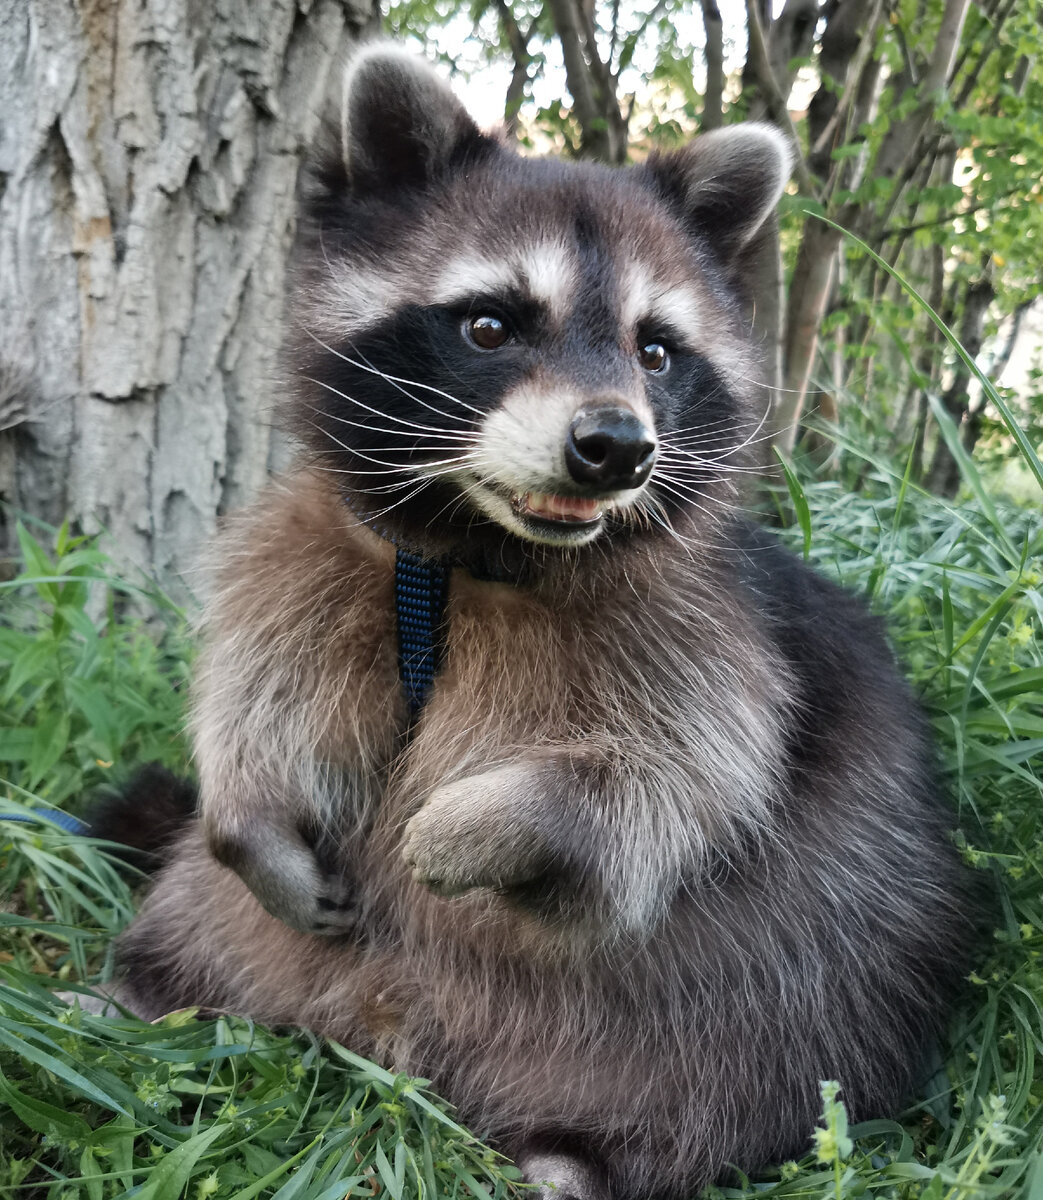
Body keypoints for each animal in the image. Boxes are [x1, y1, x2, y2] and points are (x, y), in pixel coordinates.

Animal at [109, 44, 979, 1200]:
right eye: (490, 323)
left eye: (656, 351)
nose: (615, 447)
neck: (474, 551)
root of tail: (383, 1034)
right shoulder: (318, 551)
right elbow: (261, 680)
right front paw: (245, 809)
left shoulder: (707, 632)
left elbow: (678, 782)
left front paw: (505, 816)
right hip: (250, 938)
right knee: (198, 903)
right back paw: (138, 991)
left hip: (805, 971)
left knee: (768, 1055)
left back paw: (583, 1156)